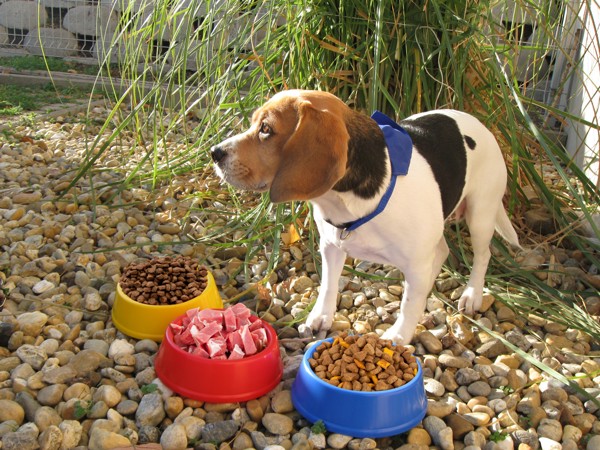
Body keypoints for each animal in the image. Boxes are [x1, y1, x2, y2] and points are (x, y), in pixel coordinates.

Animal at [212, 89, 520, 342]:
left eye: (266, 129)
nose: (215, 151)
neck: (345, 201)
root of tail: (480, 124)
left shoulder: (415, 260)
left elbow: (409, 304)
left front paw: (399, 335)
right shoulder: (331, 246)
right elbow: (328, 285)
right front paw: (320, 317)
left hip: (481, 215)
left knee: (482, 256)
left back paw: (472, 294)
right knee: (441, 252)